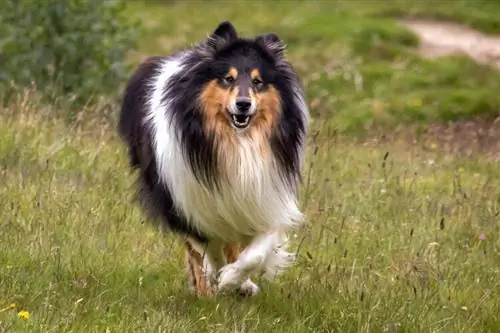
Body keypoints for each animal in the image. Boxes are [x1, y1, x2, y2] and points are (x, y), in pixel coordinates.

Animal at [119, 20, 310, 296]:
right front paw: (217, 280)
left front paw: (234, 279)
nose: (243, 104)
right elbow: (206, 249)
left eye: (258, 82)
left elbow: (257, 250)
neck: (235, 143)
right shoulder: (188, 204)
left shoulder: (264, 197)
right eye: (228, 78)